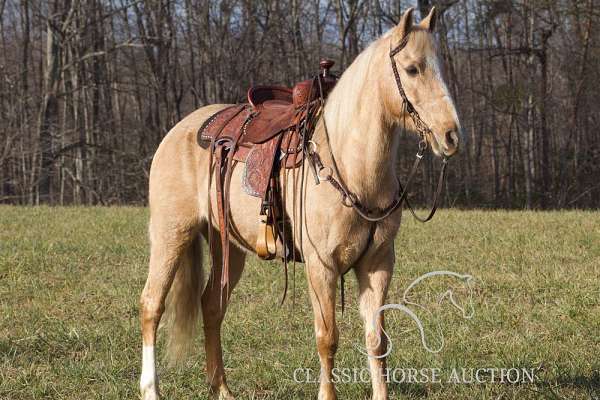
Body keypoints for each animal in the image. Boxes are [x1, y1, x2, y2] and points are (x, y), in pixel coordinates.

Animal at [139, 7, 460, 400]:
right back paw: (151, 389)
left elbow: (376, 340)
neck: (351, 166)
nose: (451, 135)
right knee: (152, 305)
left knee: (211, 307)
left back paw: (223, 389)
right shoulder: (321, 267)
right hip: (171, 234)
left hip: (228, 246)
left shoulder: (378, 263)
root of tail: (178, 131)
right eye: (413, 68)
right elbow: (327, 338)